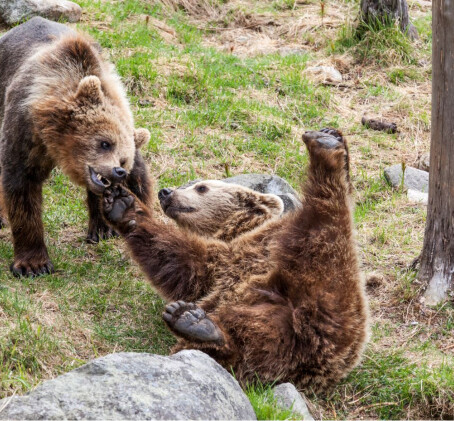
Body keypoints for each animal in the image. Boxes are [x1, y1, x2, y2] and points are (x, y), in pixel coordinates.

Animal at [0, 17, 153, 276]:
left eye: (124, 159)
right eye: (105, 142)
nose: (118, 171)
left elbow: (139, 182)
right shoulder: (25, 130)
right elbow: (22, 186)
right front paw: (33, 264)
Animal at [103, 129, 368, 394]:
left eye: (202, 187)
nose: (166, 191)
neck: (239, 230)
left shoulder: (250, 249)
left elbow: (185, 256)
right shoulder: (219, 270)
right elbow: (180, 265)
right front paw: (122, 204)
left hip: (330, 286)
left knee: (326, 224)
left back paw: (326, 149)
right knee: (243, 349)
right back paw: (196, 323)